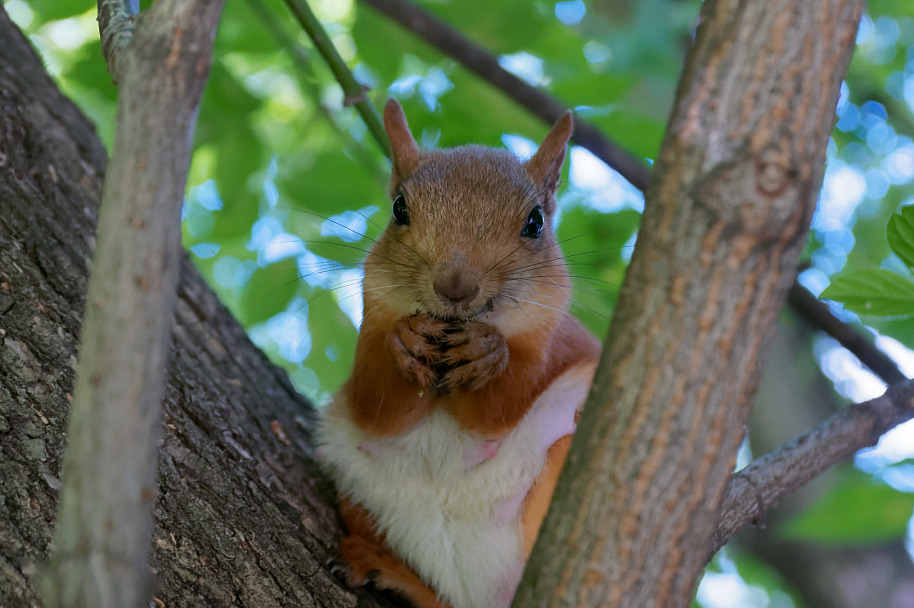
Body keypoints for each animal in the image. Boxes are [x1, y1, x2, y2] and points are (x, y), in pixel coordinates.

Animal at [318, 101, 604, 608]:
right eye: (399, 209)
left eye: (535, 222)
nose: (455, 286)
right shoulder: (375, 316)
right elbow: (376, 404)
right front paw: (405, 339)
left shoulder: (552, 338)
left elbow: (500, 406)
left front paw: (489, 354)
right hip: (356, 492)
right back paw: (386, 568)